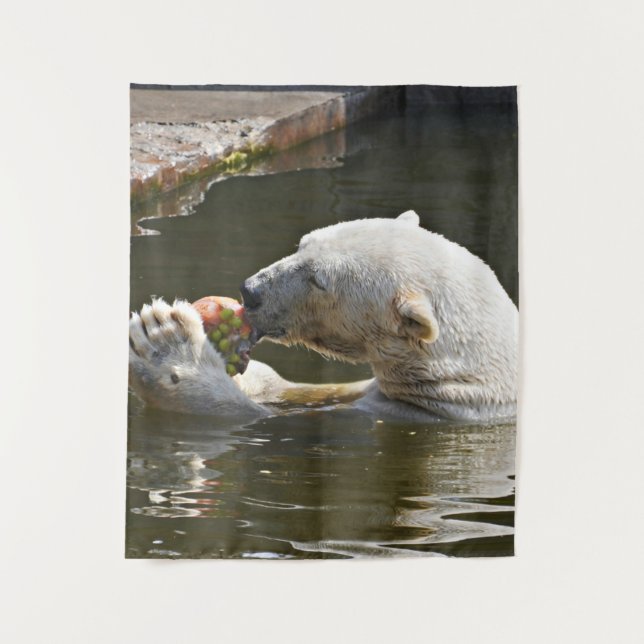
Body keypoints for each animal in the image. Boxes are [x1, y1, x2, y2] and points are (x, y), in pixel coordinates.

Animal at [128, 211, 518, 422]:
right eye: (302, 244)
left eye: (318, 280)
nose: (250, 291)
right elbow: (293, 390)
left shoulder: (399, 413)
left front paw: (165, 340)